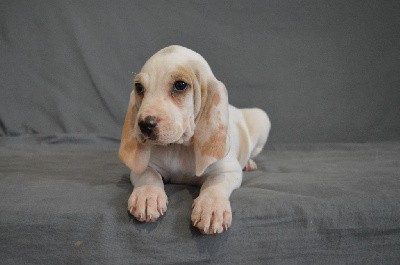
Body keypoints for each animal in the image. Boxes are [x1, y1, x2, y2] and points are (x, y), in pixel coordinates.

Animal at [117, 45, 270, 233]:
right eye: (139, 88)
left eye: (180, 85)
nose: (145, 124)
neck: (179, 146)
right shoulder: (145, 167)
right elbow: (149, 175)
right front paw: (147, 195)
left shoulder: (228, 171)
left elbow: (214, 185)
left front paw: (211, 207)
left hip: (262, 118)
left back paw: (249, 163)